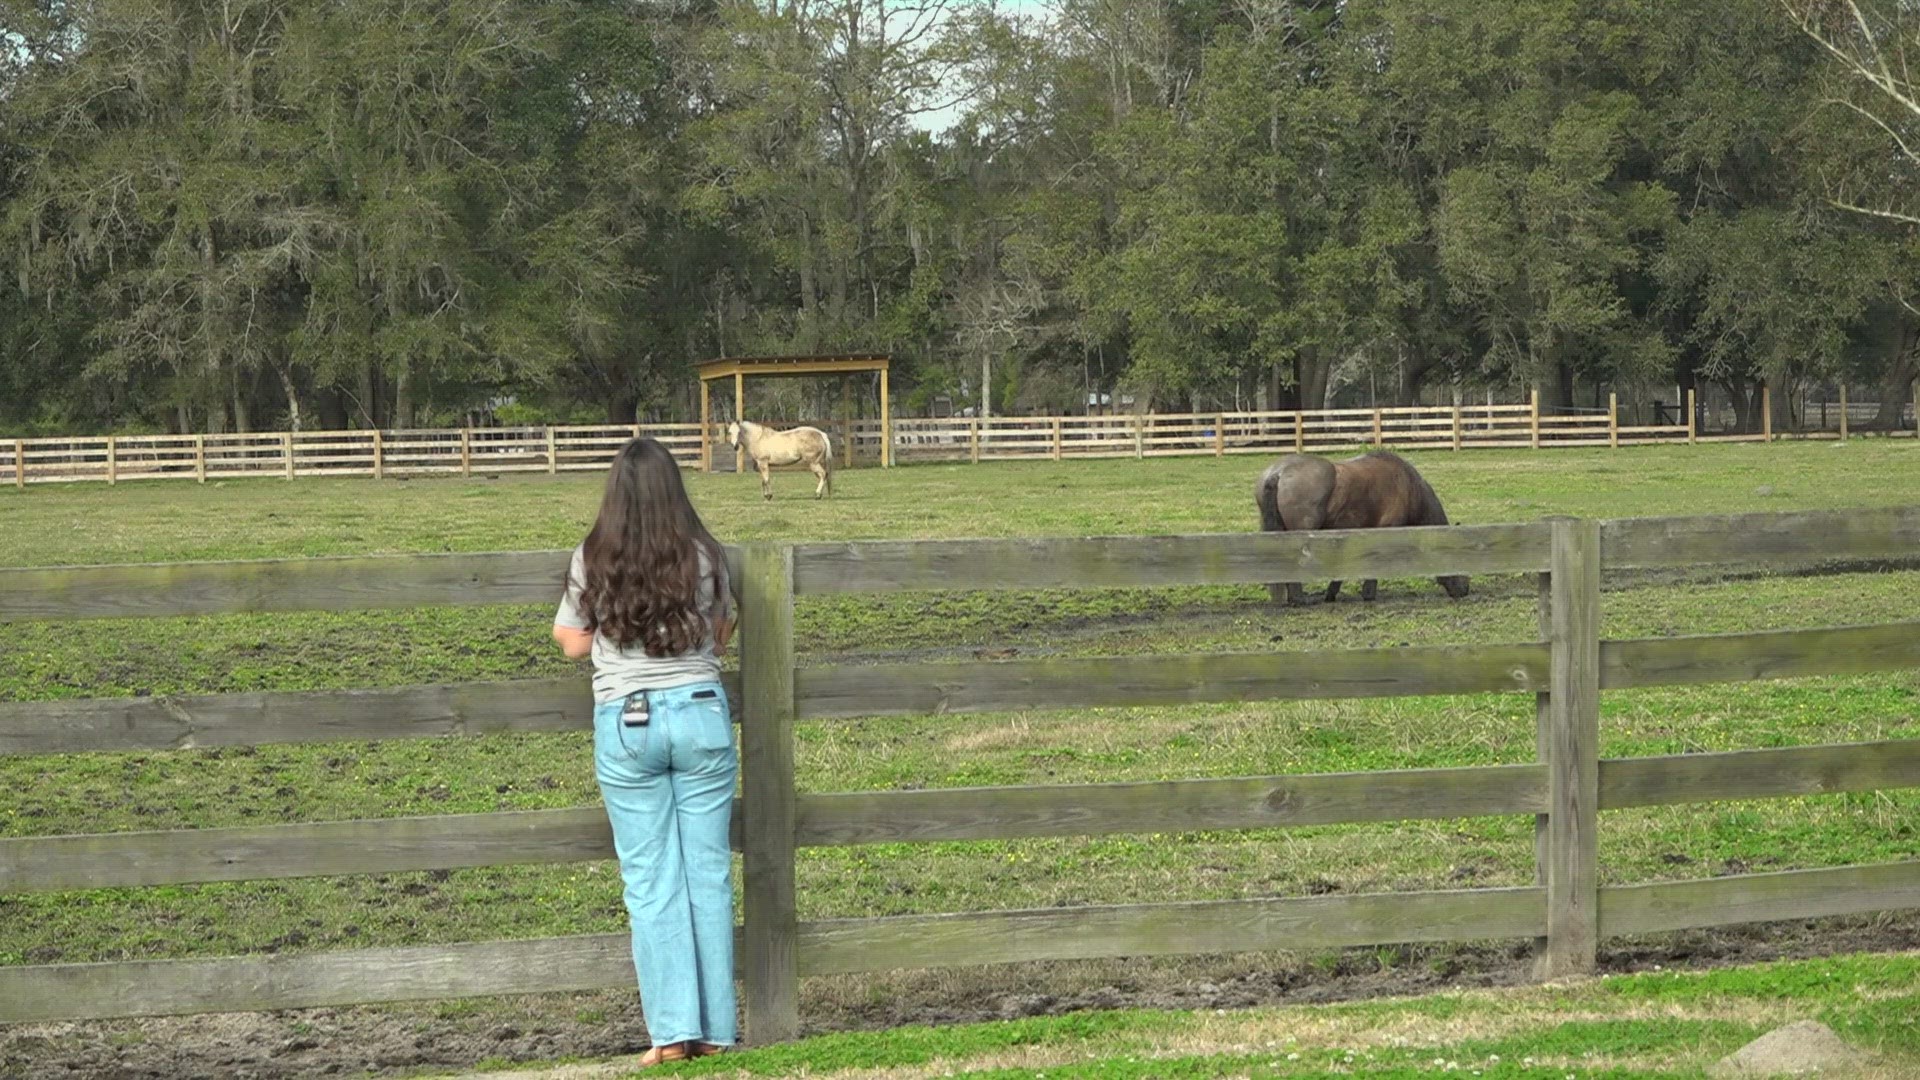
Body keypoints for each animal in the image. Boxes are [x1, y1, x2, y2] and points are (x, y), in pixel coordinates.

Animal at [1251, 449, 1474, 607]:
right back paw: (1300, 599)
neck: (1410, 487)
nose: (1464, 589)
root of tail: (1278, 473)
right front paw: (1368, 595)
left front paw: (1331, 594)